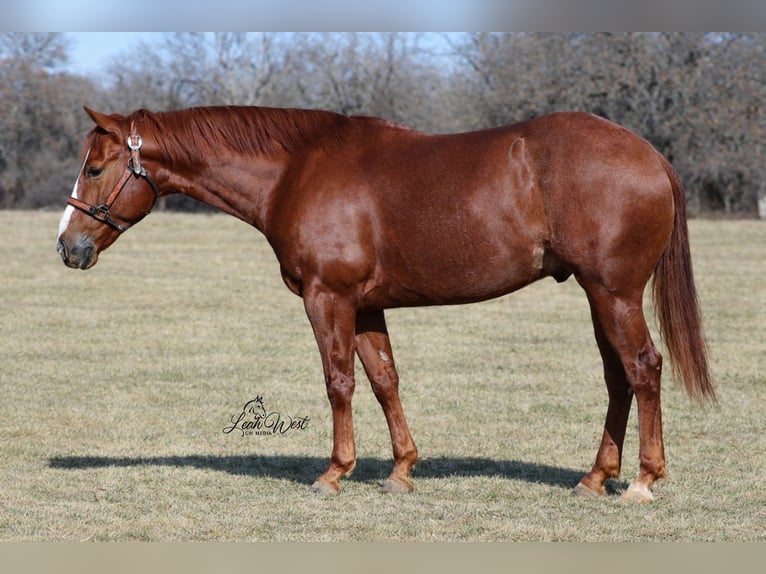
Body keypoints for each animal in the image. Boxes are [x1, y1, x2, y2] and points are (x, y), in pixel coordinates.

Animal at [56, 105, 715, 502]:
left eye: (96, 168)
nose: (68, 247)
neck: (296, 171)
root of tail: (651, 155)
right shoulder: (368, 308)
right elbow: (384, 380)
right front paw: (401, 471)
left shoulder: (328, 298)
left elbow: (339, 382)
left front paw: (334, 473)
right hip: (597, 294)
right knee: (618, 379)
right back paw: (595, 477)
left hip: (613, 293)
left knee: (643, 369)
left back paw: (643, 482)